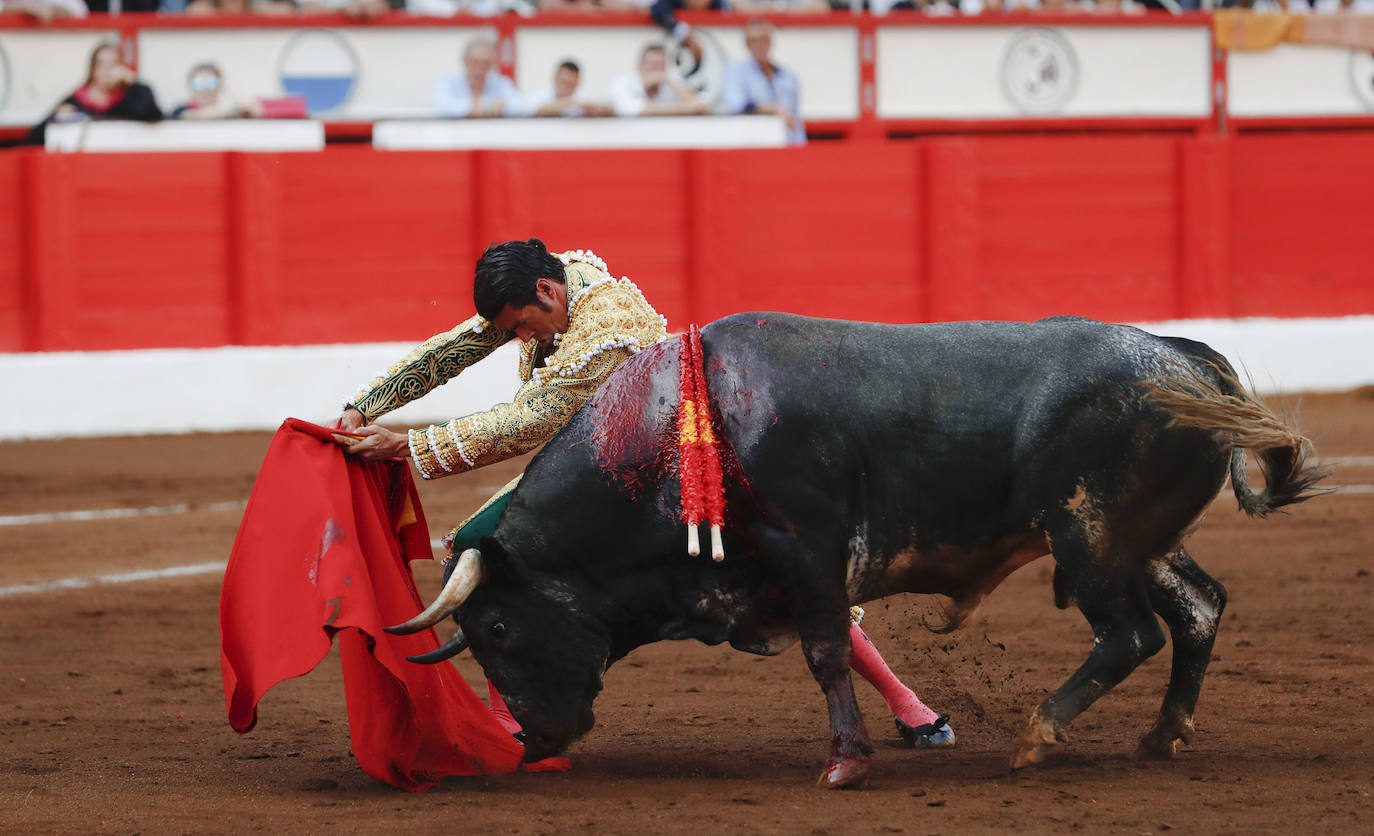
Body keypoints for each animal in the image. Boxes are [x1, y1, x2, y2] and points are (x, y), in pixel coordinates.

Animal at [392, 314, 1324, 792]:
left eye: (498, 630)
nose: (531, 740)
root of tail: (1184, 356)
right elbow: (838, 645)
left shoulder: (806, 551)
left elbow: (828, 651)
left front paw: (845, 761)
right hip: (1141, 542)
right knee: (1199, 608)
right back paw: (1163, 736)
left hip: (1089, 541)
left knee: (1131, 633)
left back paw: (1037, 735)